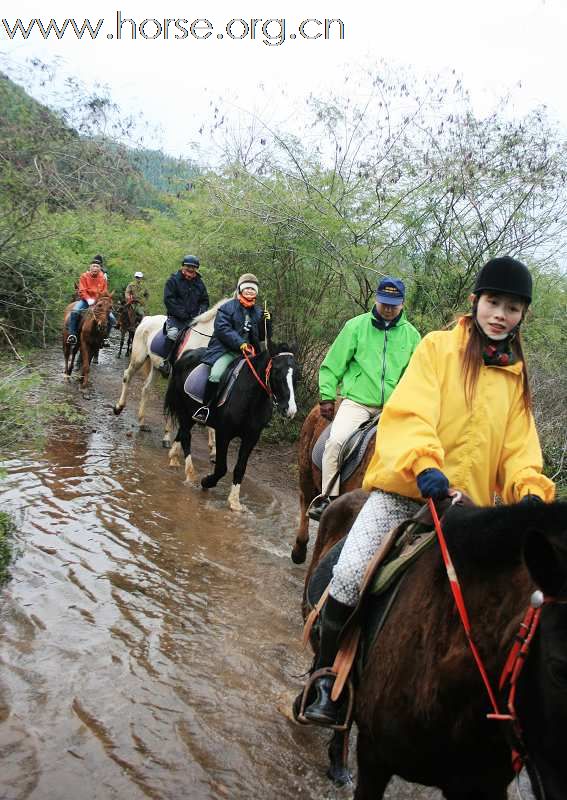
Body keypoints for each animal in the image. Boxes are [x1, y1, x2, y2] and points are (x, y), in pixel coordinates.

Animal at [163, 342, 300, 506]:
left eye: (296, 375)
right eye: (277, 372)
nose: (290, 410)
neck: (251, 397)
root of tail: (187, 354)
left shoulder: (251, 438)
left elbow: (240, 468)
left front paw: (234, 502)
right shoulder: (224, 433)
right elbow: (222, 467)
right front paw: (206, 482)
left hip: (190, 414)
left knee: (183, 433)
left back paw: (174, 457)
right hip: (184, 410)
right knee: (186, 437)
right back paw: (190, 475)